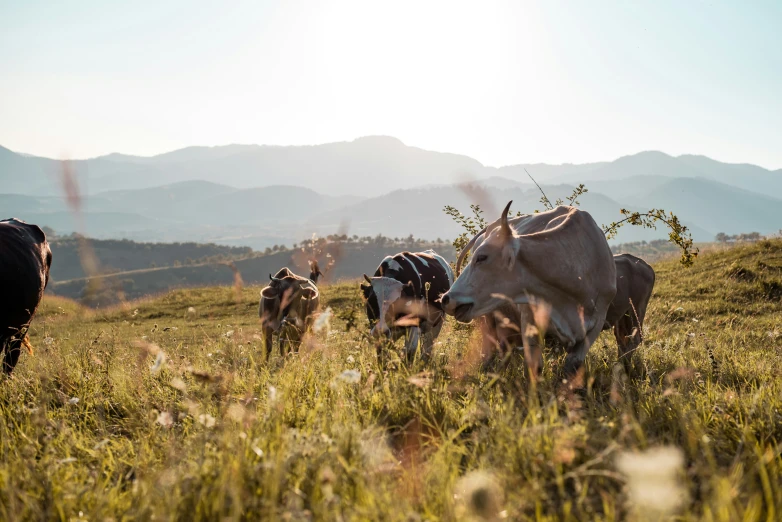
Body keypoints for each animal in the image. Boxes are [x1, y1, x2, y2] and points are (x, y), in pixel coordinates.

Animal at [440, 202, 620, 378]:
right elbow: (535, 367)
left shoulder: (596, 324)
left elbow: (572, 366)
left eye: (482, 257)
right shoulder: (530, 321)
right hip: (487, 320)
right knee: (488, 354)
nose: (446, 299)